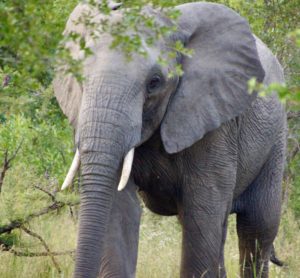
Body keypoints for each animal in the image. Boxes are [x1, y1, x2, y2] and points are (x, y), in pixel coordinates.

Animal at [53, 2, 286, 278]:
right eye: (77, 74)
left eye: (154, 82)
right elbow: (118, 211)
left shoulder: (215, 124)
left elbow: (202, 216)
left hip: (276, 141)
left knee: (257, 229)